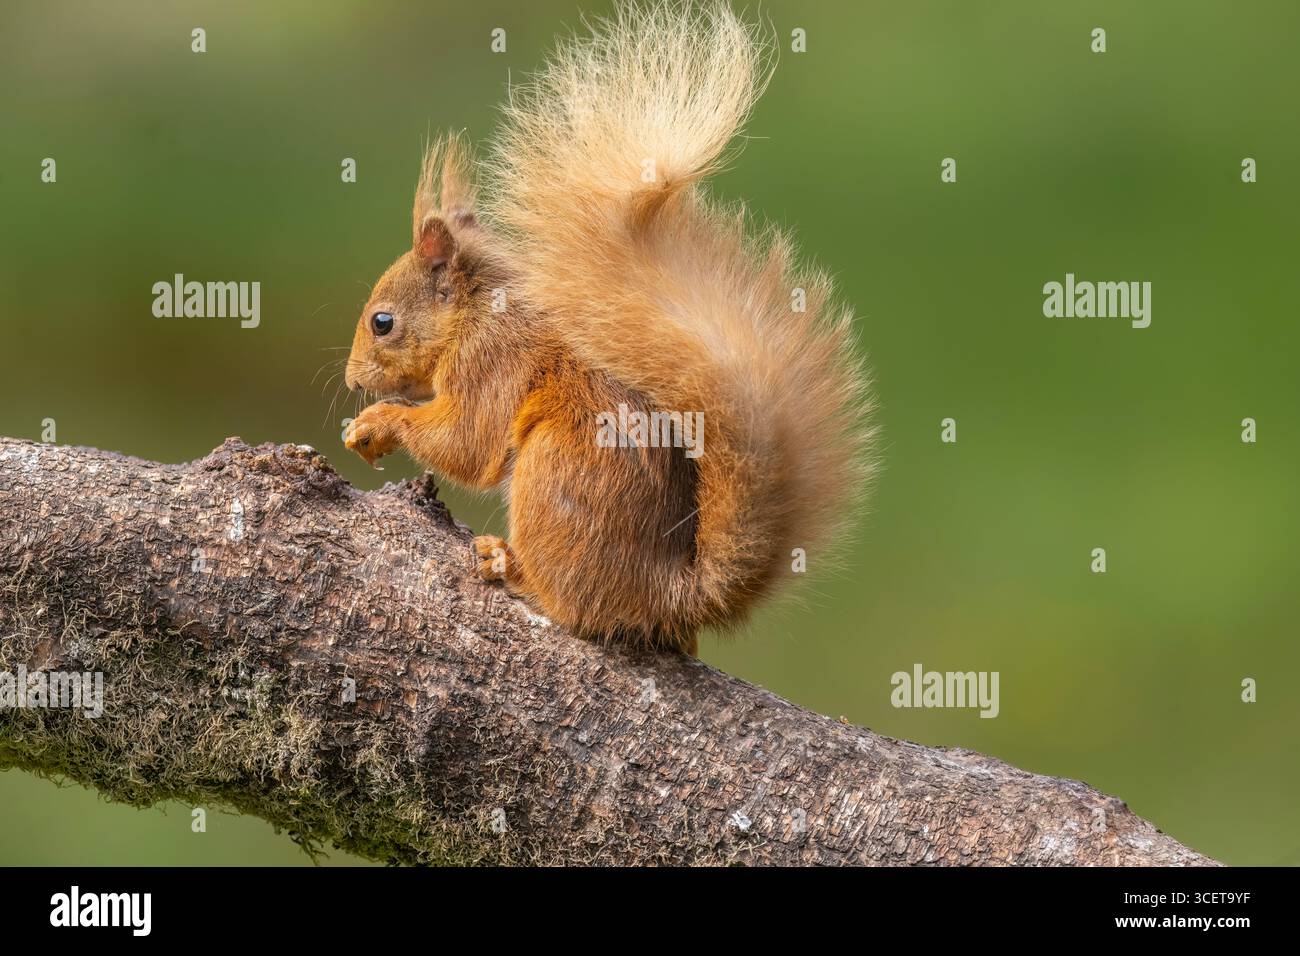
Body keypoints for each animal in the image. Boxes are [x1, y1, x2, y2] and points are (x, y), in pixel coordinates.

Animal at [343, 3, 874, 655]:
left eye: (382, 322)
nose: (351, 379)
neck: (475, 314)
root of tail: (665, 593)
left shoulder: (493, 360)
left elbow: (467, 443)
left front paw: (377, 422)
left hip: (555, 472)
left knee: (576, 606)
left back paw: (512, 567)